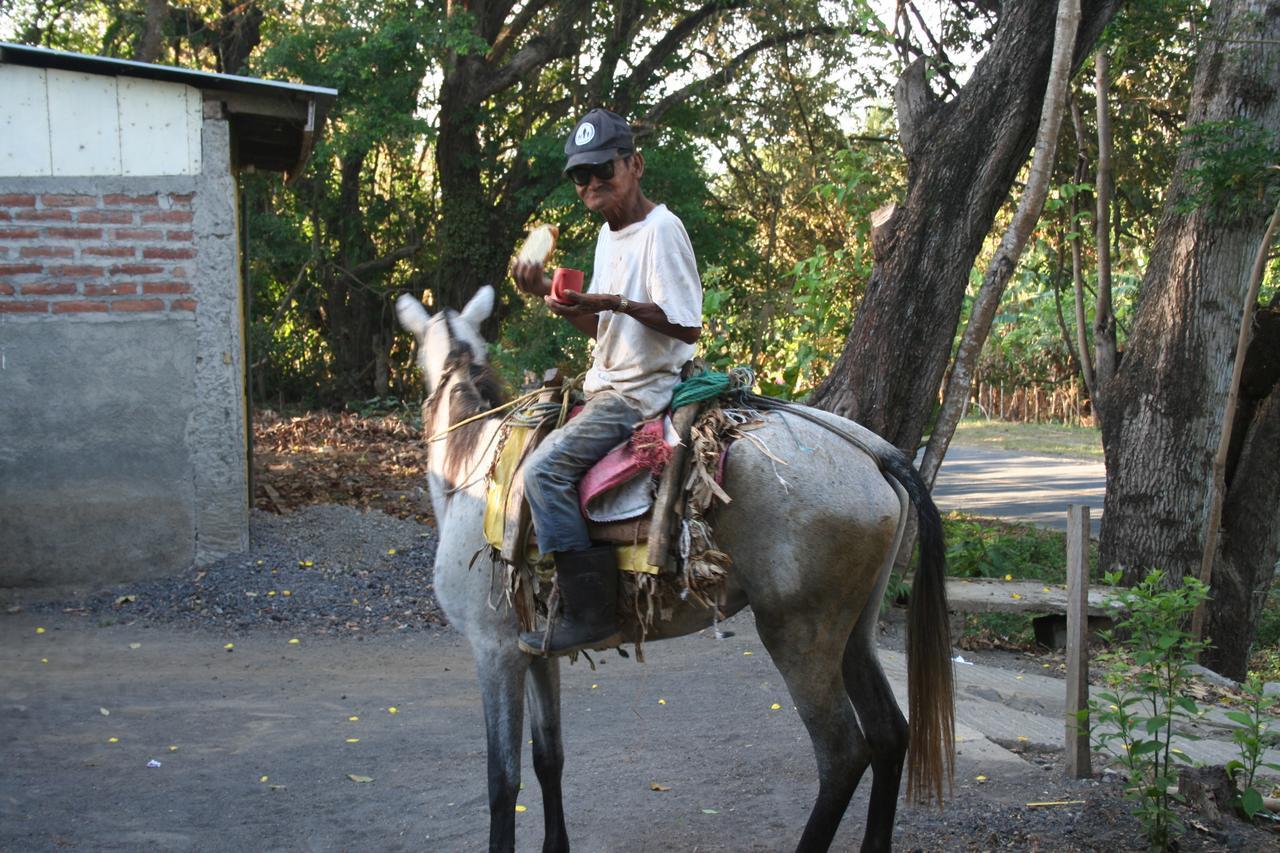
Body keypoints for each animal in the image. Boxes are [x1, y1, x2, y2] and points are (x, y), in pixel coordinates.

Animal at [394, 286, 957, 850]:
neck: (472, 467)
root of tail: (875, 452)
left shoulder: (494, 652)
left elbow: (502, 780)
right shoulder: (534, 649)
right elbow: (548, 758)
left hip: (798, 634)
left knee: (842, 755)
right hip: (854, 629)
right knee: (890, 733)